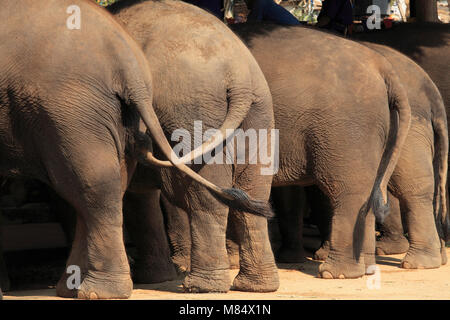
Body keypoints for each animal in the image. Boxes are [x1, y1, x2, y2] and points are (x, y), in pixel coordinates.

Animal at [0, 0, 270, 300]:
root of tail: (239, 75)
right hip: (253, 111)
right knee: (254, 188)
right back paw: (254, 286)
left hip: (153, 111)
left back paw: (198, 287)